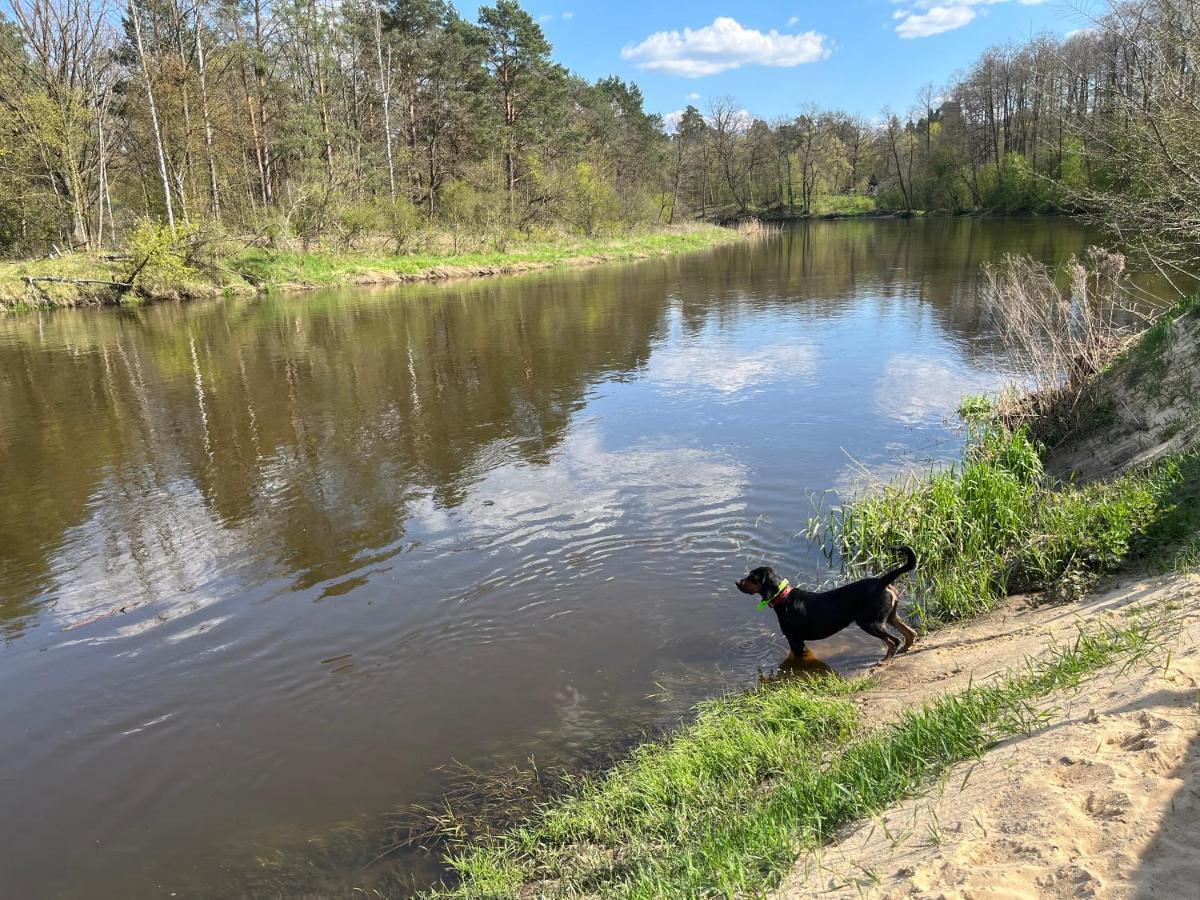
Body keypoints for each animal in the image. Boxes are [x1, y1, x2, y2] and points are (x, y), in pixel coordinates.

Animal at [729, 547, 916, 667]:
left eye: (752, 577)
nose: (737, 582)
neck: (783, 598)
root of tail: (882, 582)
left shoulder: (794, 639)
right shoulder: (800, 641)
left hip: (870, 622)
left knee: (894, 641)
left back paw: (886, 660)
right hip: (889, 616)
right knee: (910, 633)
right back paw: (906, 649)